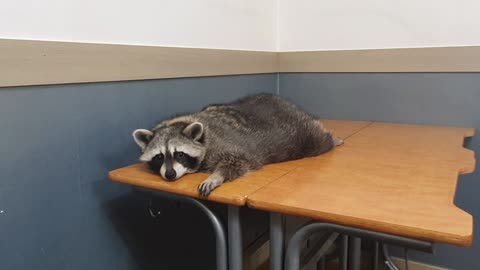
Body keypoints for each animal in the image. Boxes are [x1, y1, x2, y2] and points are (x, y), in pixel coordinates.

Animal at [131, 93, 342, 196]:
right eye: (159, 157)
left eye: (180, 154)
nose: (170, 174)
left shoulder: (223, 144)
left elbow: (238, 160)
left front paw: (216, 176)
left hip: (301, 134)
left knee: (318, 140)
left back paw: (330, 139)